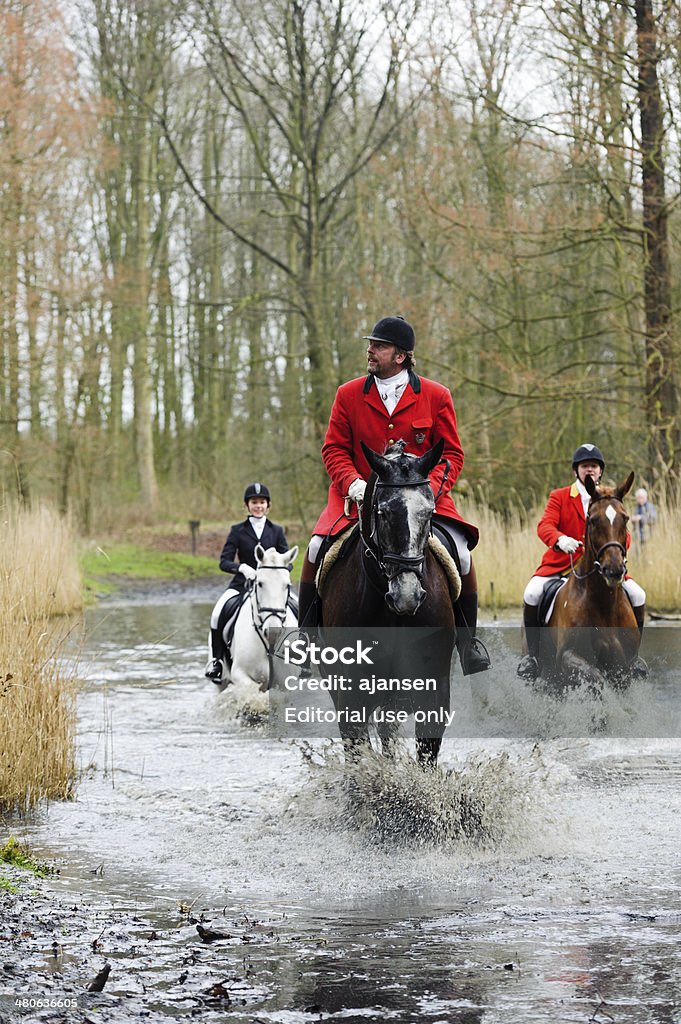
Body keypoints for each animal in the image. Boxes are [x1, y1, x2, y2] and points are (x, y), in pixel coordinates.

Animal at [214, 544, 296, 696]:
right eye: (260, 584)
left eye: (287, 585)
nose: (273, 632)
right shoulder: (239, 673)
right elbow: (252, 691)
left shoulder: (287, 682)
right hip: (221, 682)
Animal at [319, 438, 456, 770]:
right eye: (382, 512)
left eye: (429, 512)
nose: (407, 596)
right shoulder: (351, 694)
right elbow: (358, 755)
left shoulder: (434, 691)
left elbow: (427, 755)